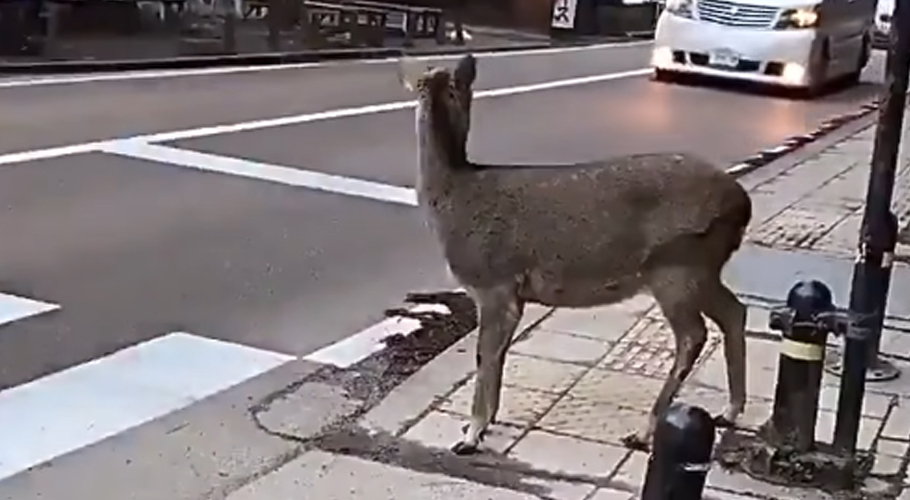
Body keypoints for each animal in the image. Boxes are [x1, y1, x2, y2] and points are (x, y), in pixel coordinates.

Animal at [396, 53, 753, 455]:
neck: (451, 201)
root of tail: (743, 205)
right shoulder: (513, 294)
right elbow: (499, 356)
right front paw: (486, 424)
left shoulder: (493, 283)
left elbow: (484, 356)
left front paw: (471, 435)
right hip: (702, 267)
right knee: (734, 311)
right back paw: (730, 411)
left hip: (677, 264)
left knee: (693, 335)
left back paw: (645, 431)